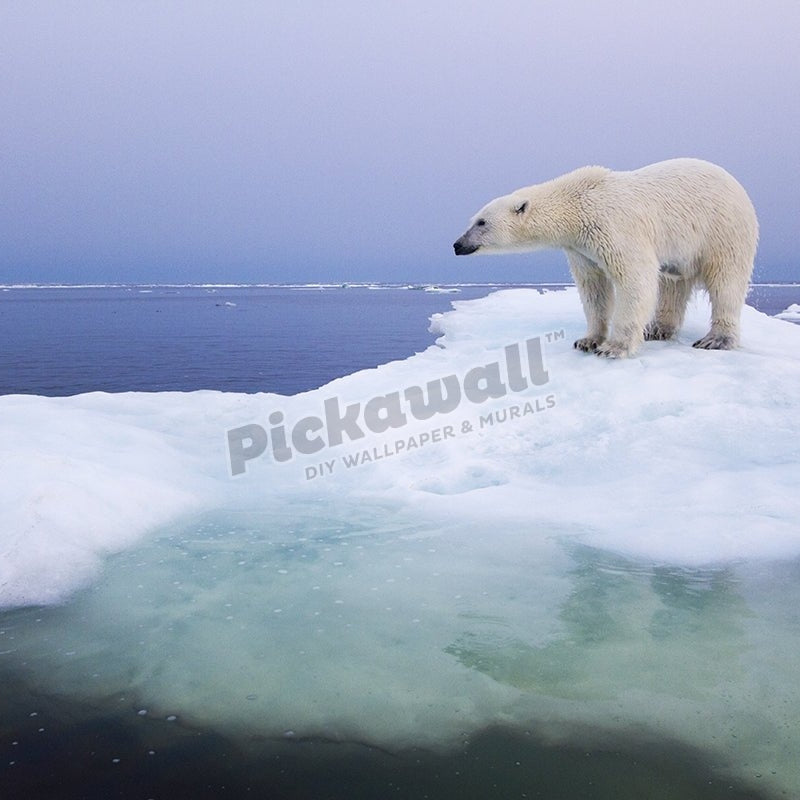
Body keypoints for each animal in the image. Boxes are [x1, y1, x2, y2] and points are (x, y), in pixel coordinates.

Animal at [453, 158, 758, 358]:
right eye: (473, 220)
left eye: (481, 222)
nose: (457, 245)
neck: (577, 203)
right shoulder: (581, 248)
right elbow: (593, 288)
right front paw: (587, 341)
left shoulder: (614, 226)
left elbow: (635, 280)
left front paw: (614, 347)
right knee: (673, 284)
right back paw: (657, 329)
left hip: (723, 230)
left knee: (726, 282)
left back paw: (715, 340)